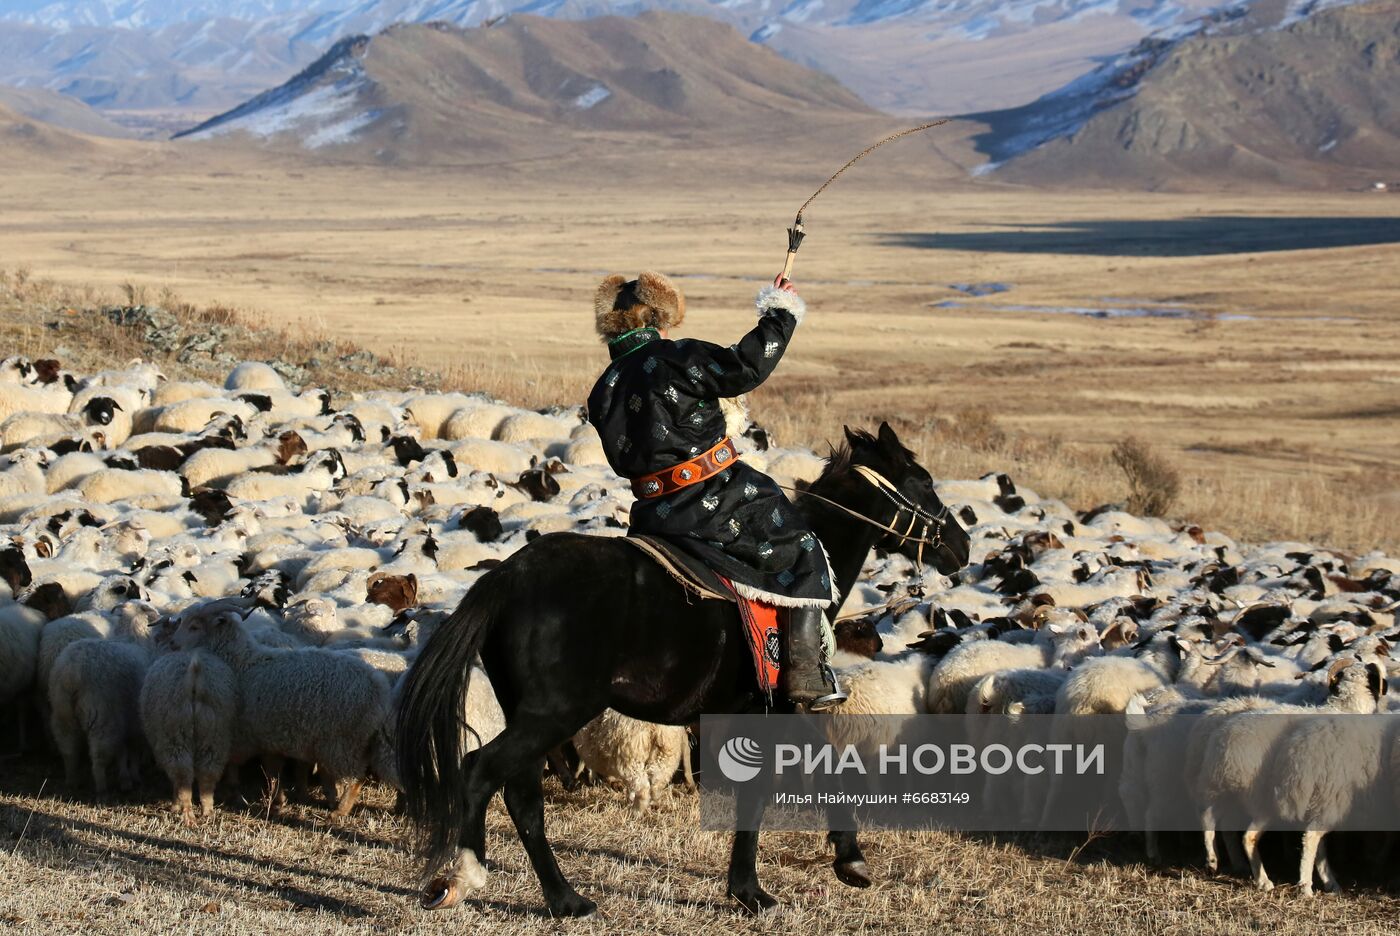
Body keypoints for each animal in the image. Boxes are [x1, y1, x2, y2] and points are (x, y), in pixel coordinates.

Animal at [389, 428, 968, 917]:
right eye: (924, 482)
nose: (960, 546)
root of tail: (509, 576)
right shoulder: (779, 708)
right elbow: (783, 787)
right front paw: (762, 888)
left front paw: (833, 862)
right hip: (552, 714)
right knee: (479, 772)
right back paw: (465, 876)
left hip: (530, 715)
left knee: (522, 796)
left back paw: (566, 899)